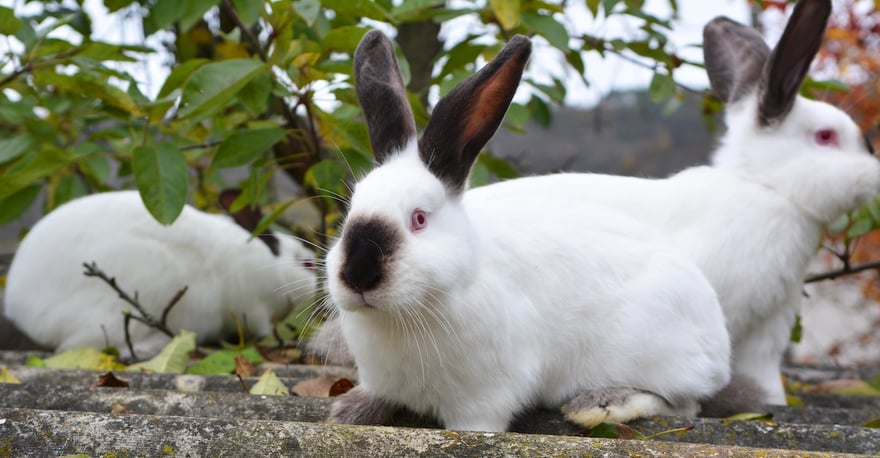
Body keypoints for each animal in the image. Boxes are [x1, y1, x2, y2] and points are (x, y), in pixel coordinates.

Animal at [2, 188, 318, 359]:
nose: (319, 287)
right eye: (307, 264)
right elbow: (262, 327)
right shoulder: (251, 307)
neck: (272, 264)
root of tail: (24, 317)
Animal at [323, 30, 733, 433]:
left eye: (419, 219)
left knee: (684, 404)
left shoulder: (482, 399)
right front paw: (348, 412)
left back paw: (601, 404)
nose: (358, 274)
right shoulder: (383, 380)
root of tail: (718, 341)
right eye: (350, 209)